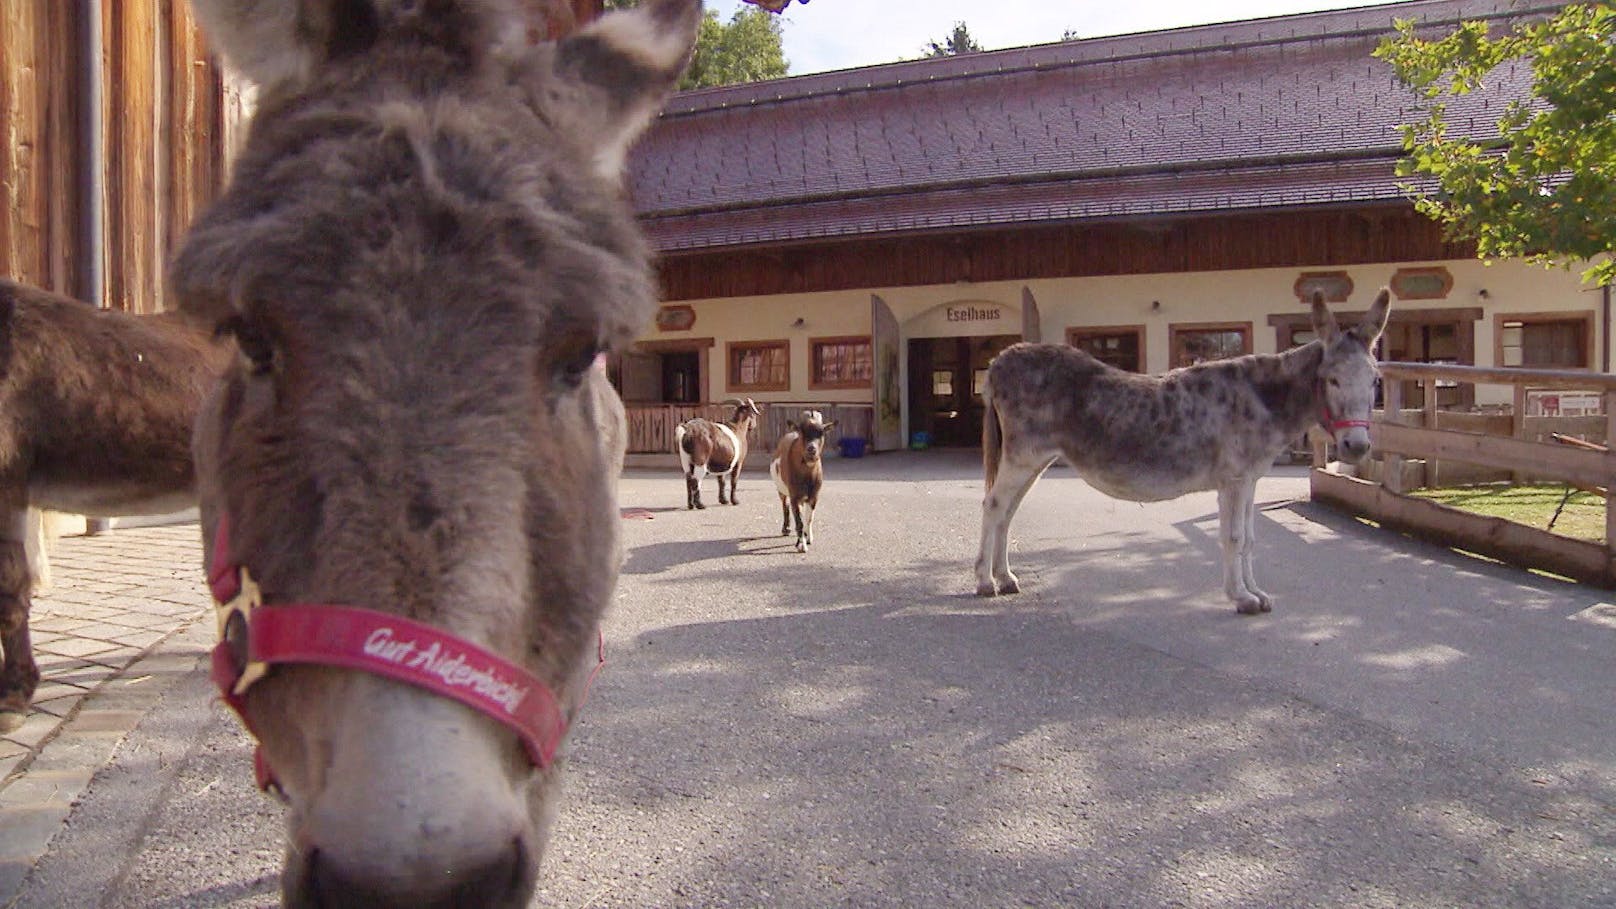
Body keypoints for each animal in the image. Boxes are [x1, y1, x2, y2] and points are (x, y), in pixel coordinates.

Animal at [765, 410, 833, 553]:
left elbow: (809, 518)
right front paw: (801, 545)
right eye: (802, 432)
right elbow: (799, 521)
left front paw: (807, 538)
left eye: (821, 433)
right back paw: (786, 529)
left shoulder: (814, 496)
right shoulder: (795, 496)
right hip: (781, 489)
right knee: (785, 505)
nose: (811, 449)